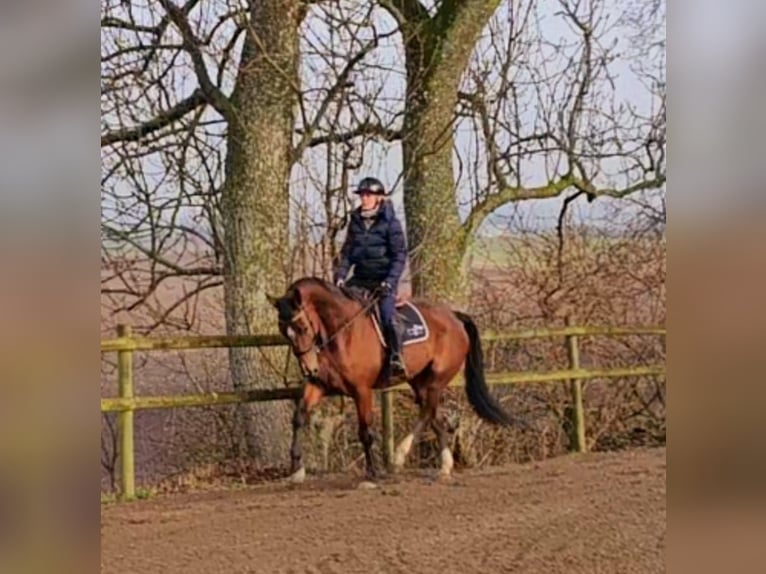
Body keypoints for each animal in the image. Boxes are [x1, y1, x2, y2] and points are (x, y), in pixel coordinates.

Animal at [268, 276, 520, 484]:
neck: (341, 333)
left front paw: (372, 472)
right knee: (434, 417)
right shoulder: (319, 385)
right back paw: (444, 467)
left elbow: (365, 430)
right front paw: (296, 469)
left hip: (436, 380)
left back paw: (399, 457)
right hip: (419, 381)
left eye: (301, 326)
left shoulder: (362, 390)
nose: (308, 368)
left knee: (427, 413)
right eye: (282, 330)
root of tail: (454, 317)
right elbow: (299, 418)